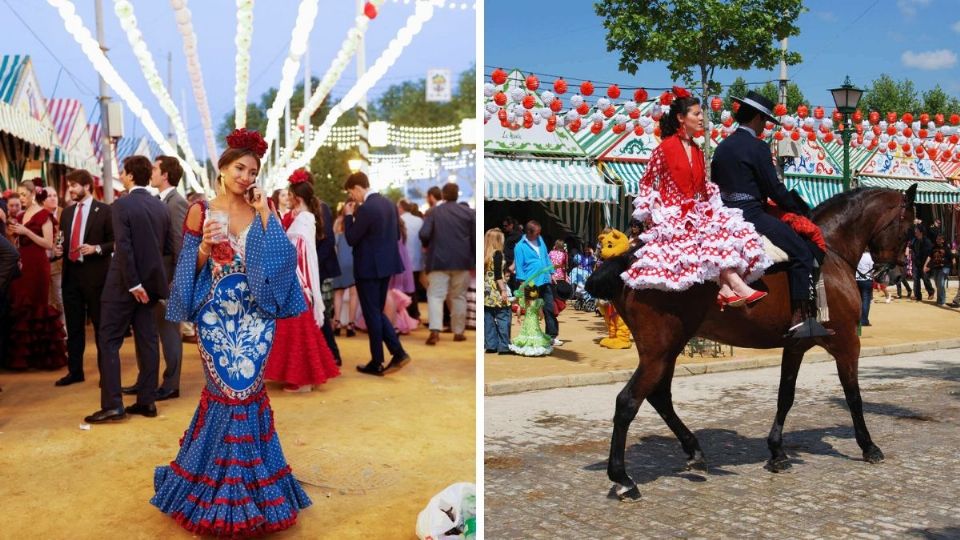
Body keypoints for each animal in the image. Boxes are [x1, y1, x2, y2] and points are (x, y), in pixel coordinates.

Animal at [588, 186, 920, 502]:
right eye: (908, 230)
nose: (896, 273)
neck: (831, 253)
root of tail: (627, 259)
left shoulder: (796, 345)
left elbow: (786, 396)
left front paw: (777, 452)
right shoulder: (846, 341)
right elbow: (853, 396)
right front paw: (868, 446)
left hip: (668, 348)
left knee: (659, 397)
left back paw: (694, 452)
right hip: (660, 350)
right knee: (628, 402)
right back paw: (623, 479)